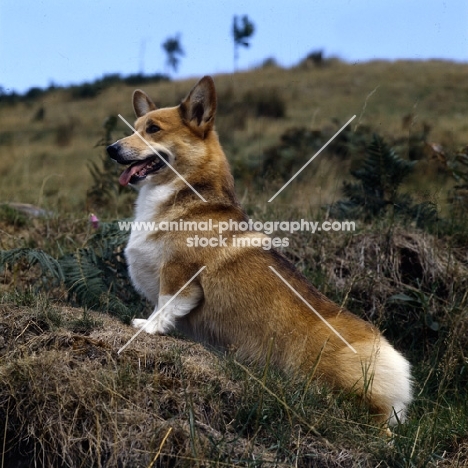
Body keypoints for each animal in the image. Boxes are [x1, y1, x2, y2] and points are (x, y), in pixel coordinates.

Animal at [105, 77, 410, 428]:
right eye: (135, 128)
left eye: (153, 129)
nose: (111, 149)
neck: (183, 196)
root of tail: (395, 361)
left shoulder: (180, 276)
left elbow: (165, 306)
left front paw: (148, 327)